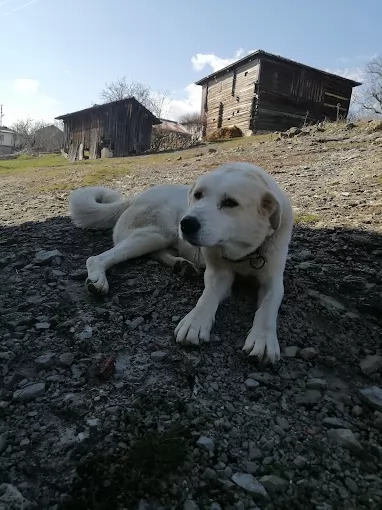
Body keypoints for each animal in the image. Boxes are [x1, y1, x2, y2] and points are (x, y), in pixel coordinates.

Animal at [68, 162, 294, 362]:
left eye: (230, 202)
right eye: (198, 195)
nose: (186, 223)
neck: (244, 253)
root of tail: (135, 197)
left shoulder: (273, 281)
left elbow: (267, 308)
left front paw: (263, 340)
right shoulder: (217, 273)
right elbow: (207, 297)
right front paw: (195, 322)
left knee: (157, 253)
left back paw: (182, 266)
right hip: (157, 233)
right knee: (97, 258)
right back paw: (98, 281)